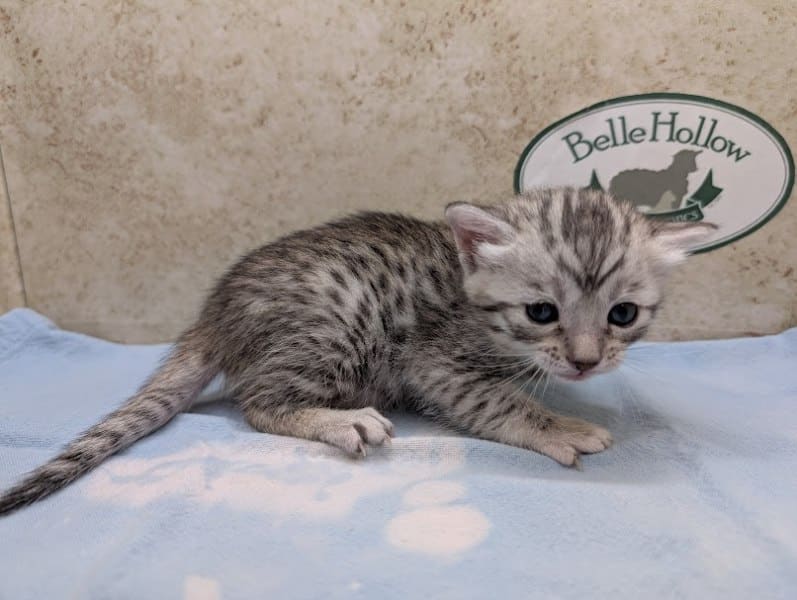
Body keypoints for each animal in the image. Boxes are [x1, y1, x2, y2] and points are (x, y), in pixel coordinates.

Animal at [0, 187, 714, 514]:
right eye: (542, 312)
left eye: (623, 314)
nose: (587, 360)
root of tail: (215, 313)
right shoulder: (436, 360)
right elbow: (497, 401)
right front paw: (558, 425)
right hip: (337, 328)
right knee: (259, 402)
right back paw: (342, 421)